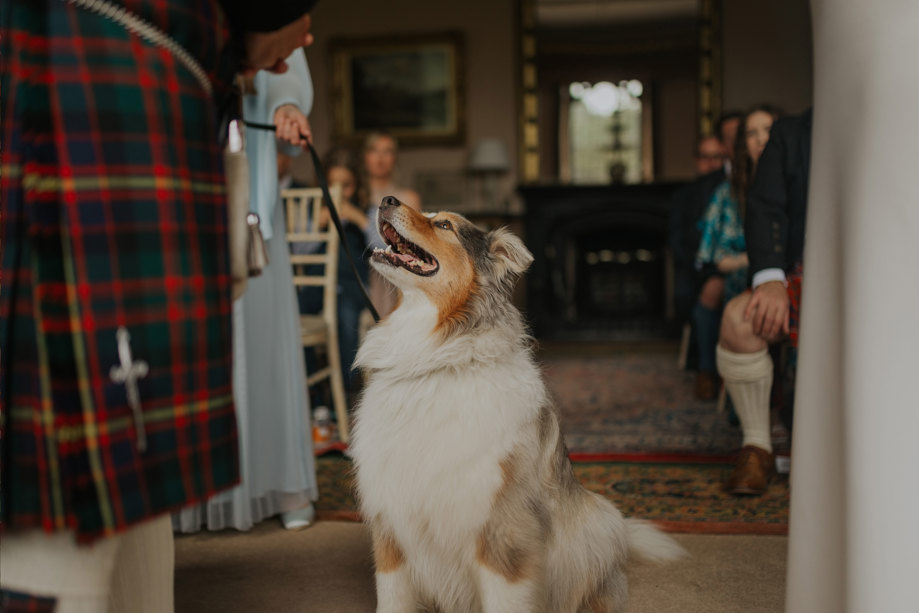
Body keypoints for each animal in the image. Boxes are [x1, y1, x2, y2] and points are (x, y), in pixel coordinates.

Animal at [350, 197, 684, 612]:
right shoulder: (391, 527)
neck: (433, 358)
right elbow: (391, 598)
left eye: (444, 225)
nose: (387, 200)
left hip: (600, 521)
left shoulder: (500, 532)